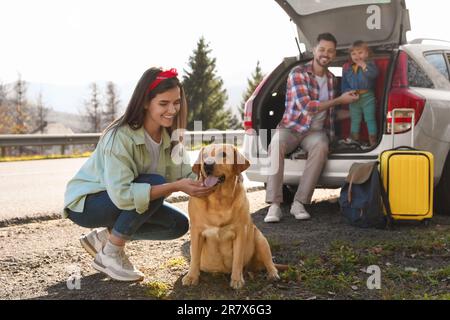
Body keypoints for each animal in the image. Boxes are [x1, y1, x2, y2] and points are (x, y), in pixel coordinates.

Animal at [181, 144, 280, 288]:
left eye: (223, 154)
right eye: (204, 156)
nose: (207, 165)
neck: (219, 200)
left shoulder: (240, 232)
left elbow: (237, 259)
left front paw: (237, 279)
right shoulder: (196, 231)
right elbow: (194, 258)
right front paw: (191, 276)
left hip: (260, 239)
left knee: (269, 262)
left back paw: (273, 274)